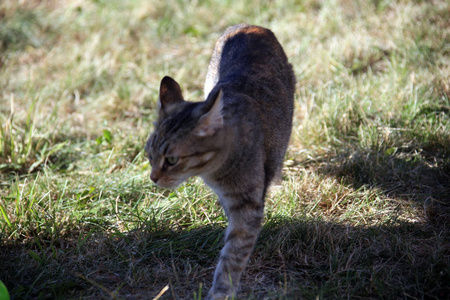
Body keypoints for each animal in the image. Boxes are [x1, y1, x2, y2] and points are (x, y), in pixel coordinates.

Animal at [146, 24, 298, 300]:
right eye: (149, 155)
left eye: (171, 160)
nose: (153, 178)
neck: (214, 172)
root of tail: (251, 25)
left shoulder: (248, 205)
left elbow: (233, 254)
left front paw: (222, 291)